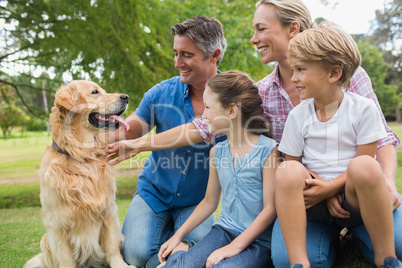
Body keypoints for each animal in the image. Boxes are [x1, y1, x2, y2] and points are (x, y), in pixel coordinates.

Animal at [24, 81, 133, 268]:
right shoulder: (57, 223)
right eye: (95, 92)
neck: (82, 156)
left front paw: (122, 265)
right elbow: (65, 258)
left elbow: (112, 248)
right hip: (45, 241)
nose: (126, 97)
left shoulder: (109, 211)